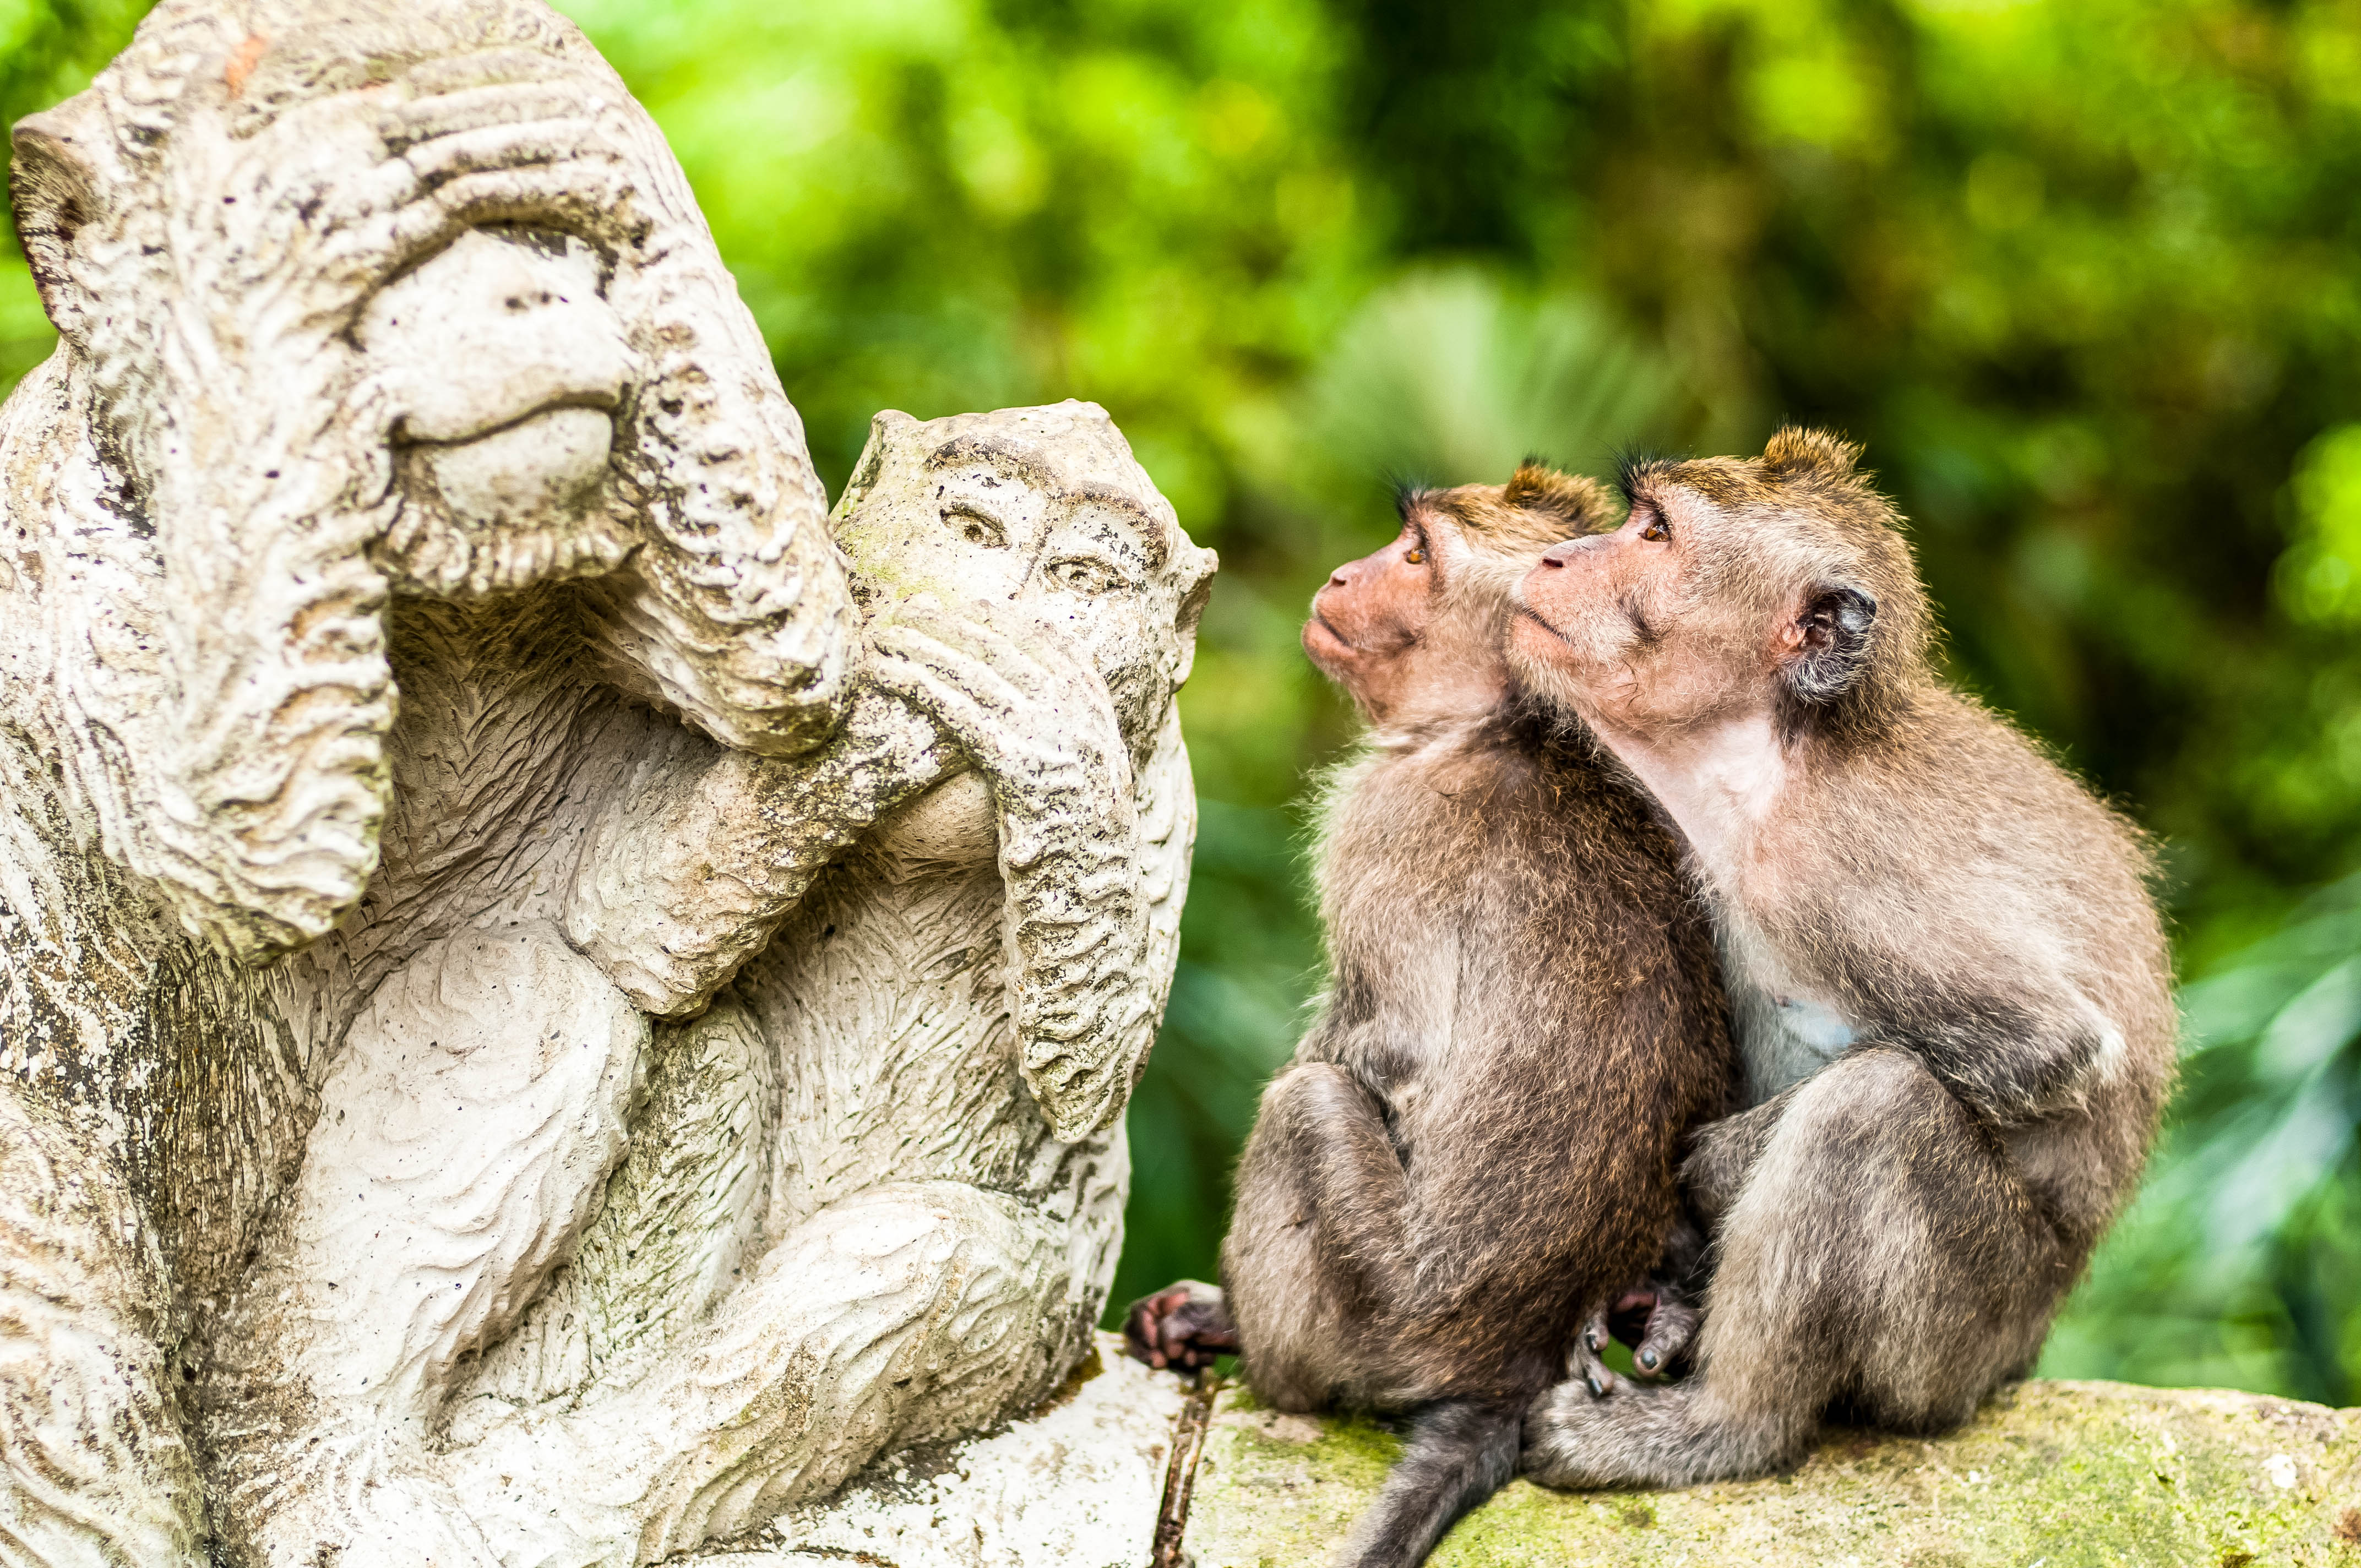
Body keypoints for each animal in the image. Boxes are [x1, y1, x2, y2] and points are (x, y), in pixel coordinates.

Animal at [1126, 466, 1736, 1568]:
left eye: (1414, 555)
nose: (1341, 573)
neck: (1499, 723)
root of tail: (1505, 1366)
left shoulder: (1383, 818)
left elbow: (1386, 1046)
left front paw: (1213, 1306)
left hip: (1379, 1314)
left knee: (1307, 1105)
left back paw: (1255, 1347)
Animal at [1507, 427, 2176, 1489]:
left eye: (1652, 533)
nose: (1556, 558)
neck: (1773, 759)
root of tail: (2022, 1352)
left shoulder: (1829, 869)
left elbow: (2050, 1046)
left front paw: (1705, 1173)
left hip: (1961, 1336)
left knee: (1873, 1109)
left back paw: (1722, 1426)